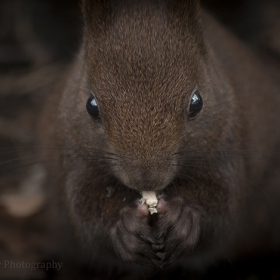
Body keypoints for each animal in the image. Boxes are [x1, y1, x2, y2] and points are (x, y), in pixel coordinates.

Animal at [38, 0, 280, 276]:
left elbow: (223, 207)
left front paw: (183, 216)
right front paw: (124, 227)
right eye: (91, 106)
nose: (146, 178)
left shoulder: (226, 144)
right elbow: (85, 213)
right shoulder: (75, 156)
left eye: (197, 102)